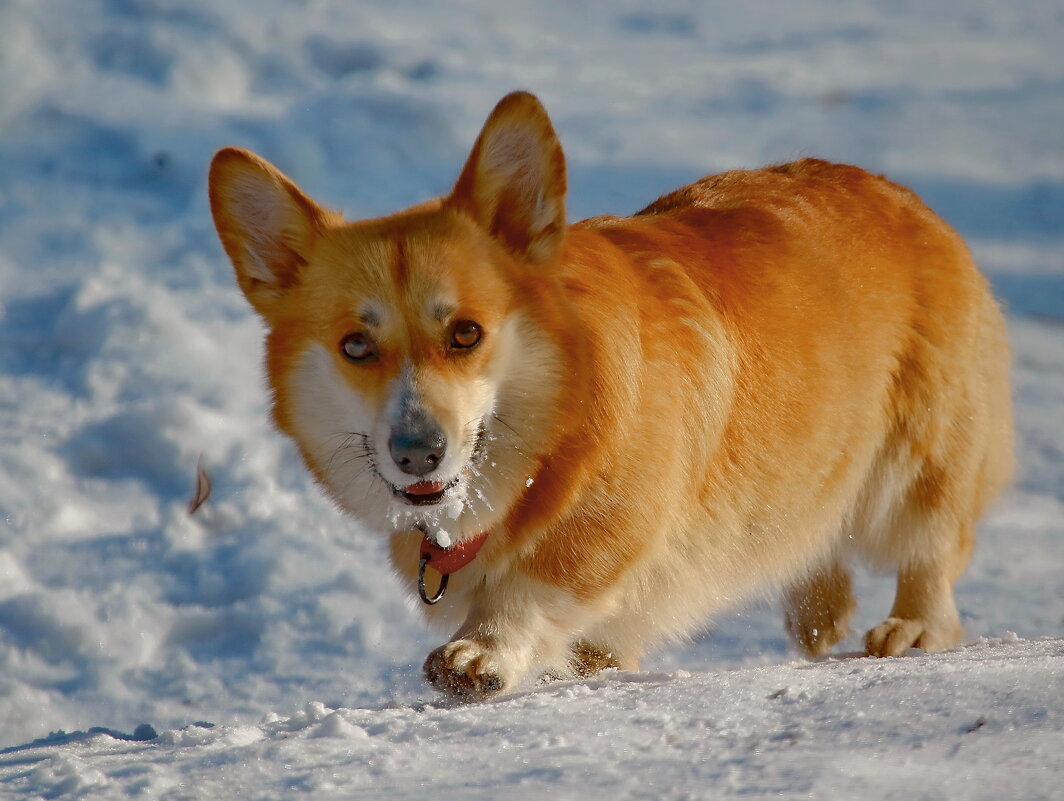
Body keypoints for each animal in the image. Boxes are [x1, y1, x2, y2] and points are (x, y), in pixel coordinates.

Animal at [209, 90, 1012, 697]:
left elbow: (543, 579)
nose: (417, 452)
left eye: (466, 333)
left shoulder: (610, 527)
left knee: (934, 551)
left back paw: (911, 627)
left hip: (918, 466)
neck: (545, 446)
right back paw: (818, 611)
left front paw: (484, 647)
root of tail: (902, 196)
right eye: (355, 346)